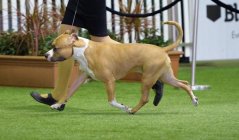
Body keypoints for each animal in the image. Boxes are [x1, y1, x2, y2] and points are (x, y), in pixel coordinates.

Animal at [44, 21, 198, 114]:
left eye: (56, 48)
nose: (45, 55)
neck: (82, 49)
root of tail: (161, 49)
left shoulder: (109, 81)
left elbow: (112, 101)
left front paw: (123, 106)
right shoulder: (81, 78)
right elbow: (67, 92)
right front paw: (57, 104)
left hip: (147, 78)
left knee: (145, 98)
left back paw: (132, 110)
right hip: (165, 76)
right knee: (184, 84)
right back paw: (194, 100)